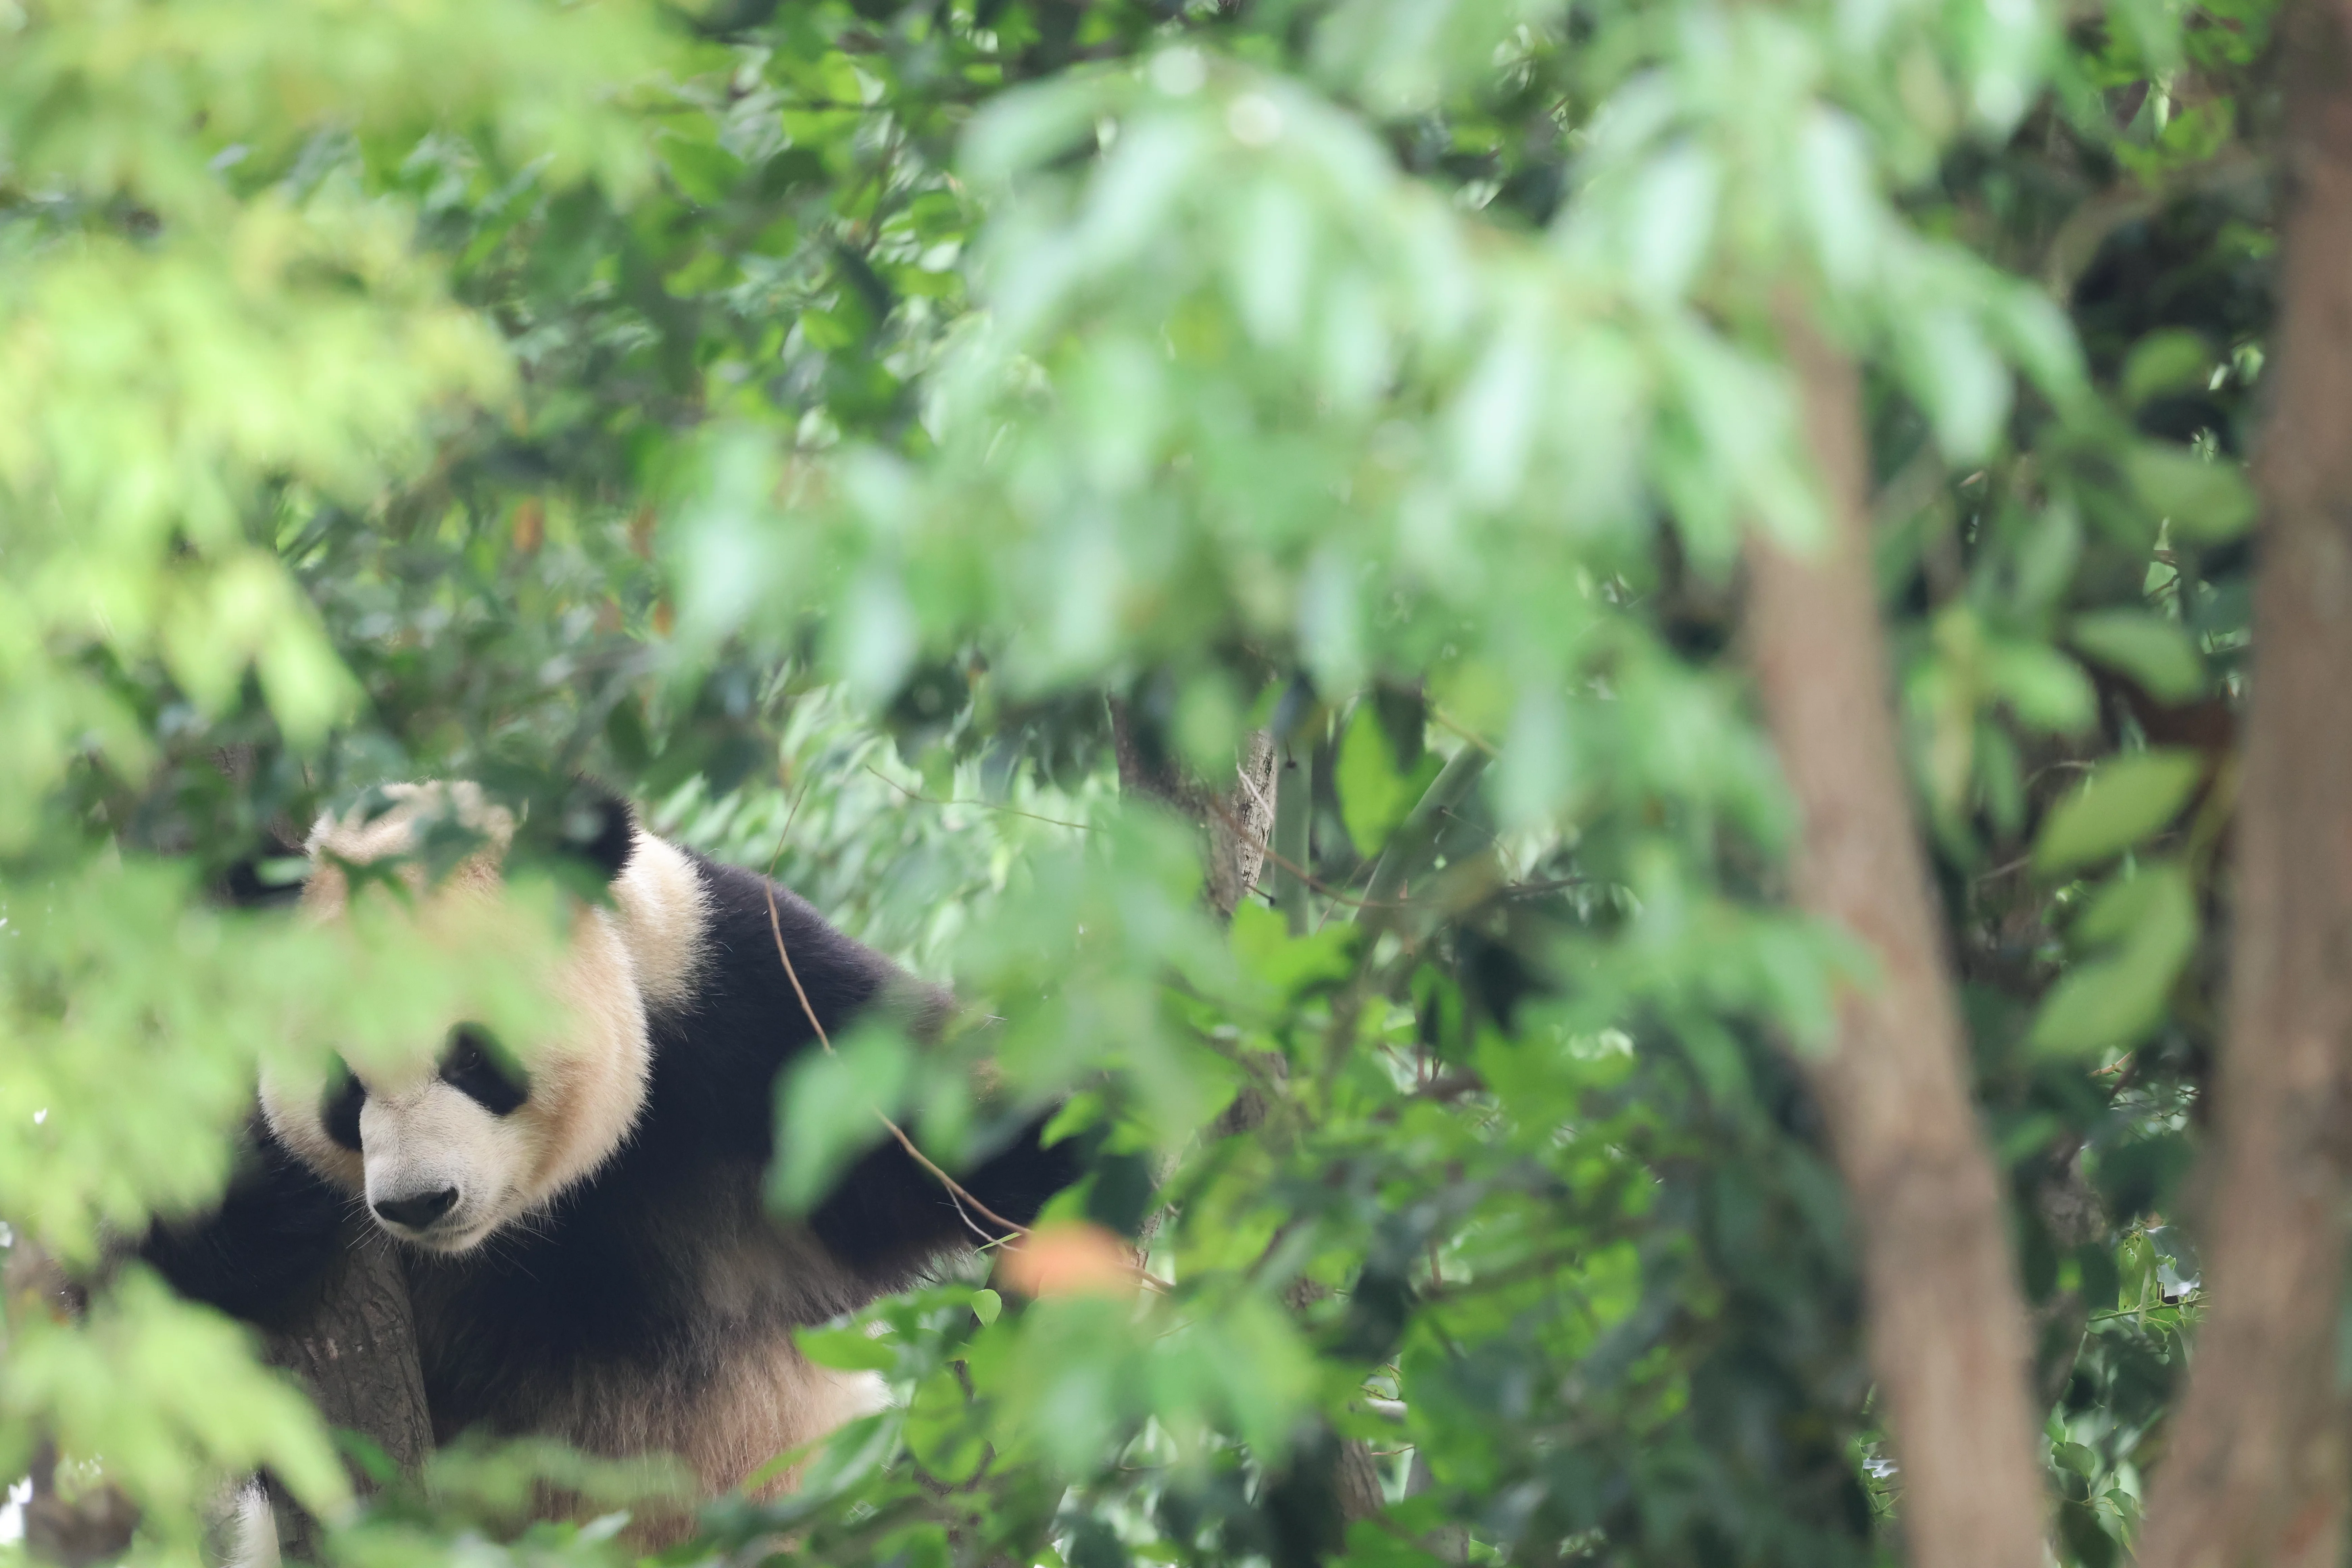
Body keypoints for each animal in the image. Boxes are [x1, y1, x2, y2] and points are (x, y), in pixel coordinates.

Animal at [142, 782, 1075, 1531]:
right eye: (344, 1084)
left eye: (472, 1058)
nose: (419, 1202)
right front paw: (272, 1213)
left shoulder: (738, 995)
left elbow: (941, 1128)